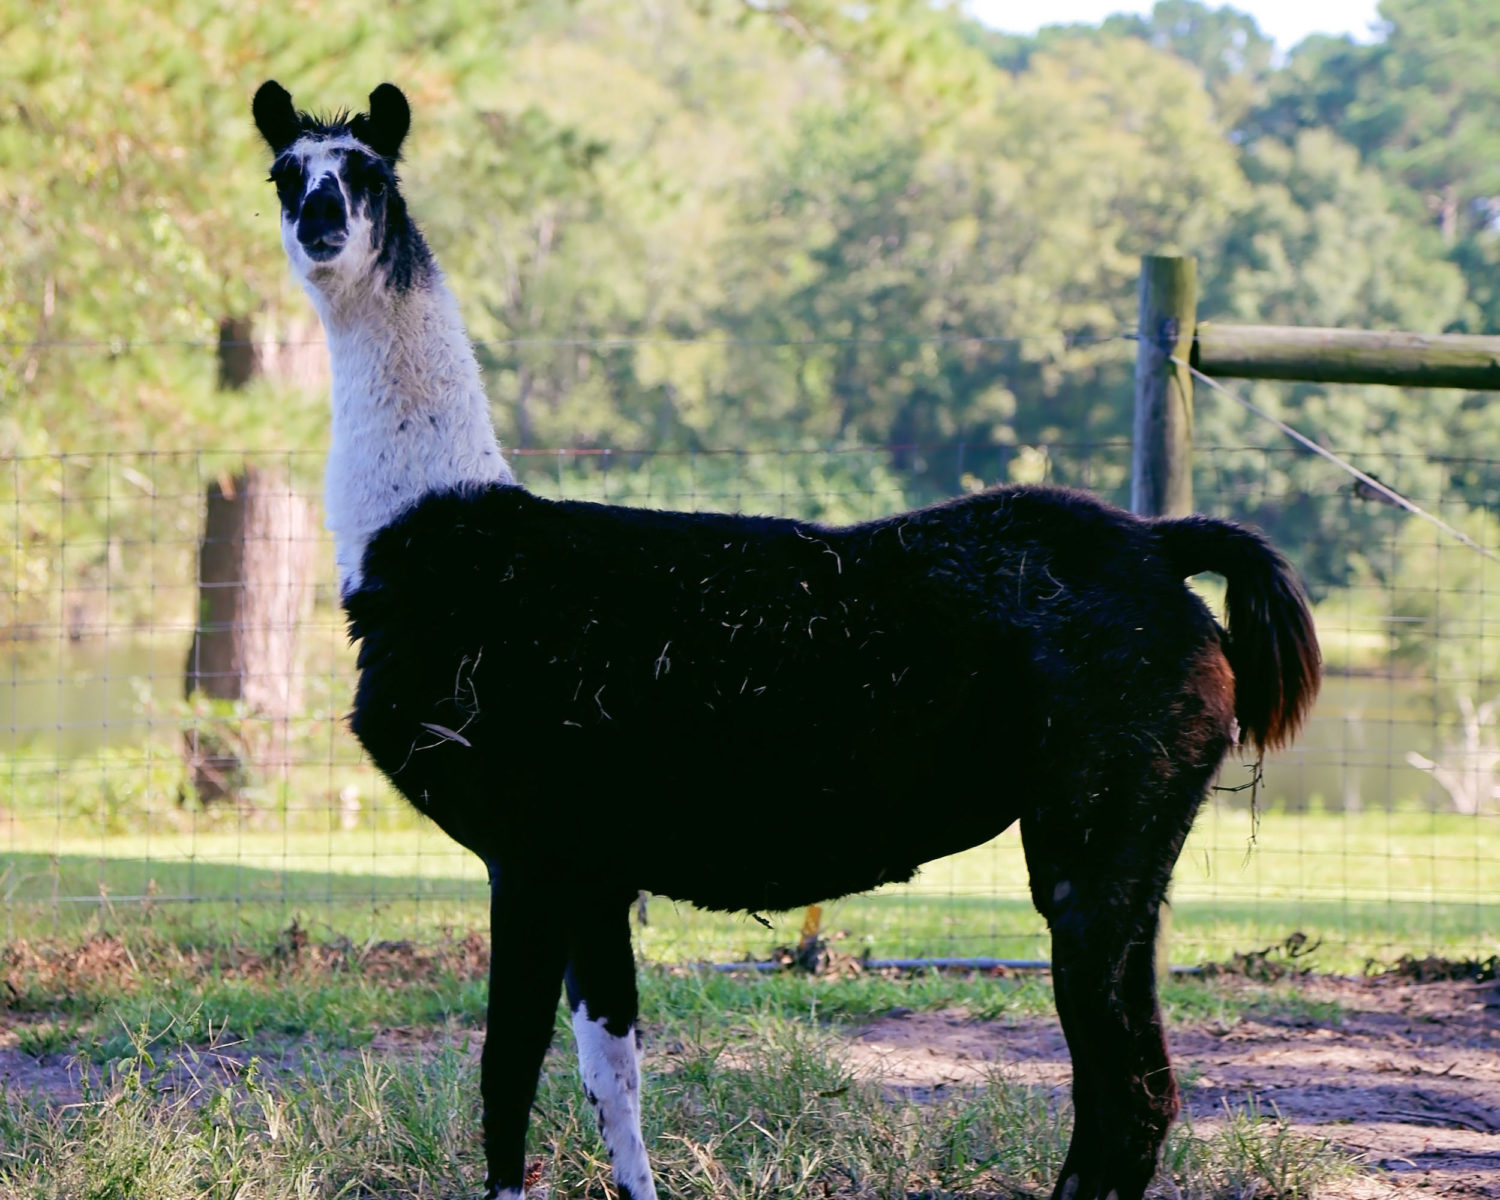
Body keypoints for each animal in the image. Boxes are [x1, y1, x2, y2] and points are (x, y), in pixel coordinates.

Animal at [253, 80, 1321, 1200]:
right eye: (286, 173)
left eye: (368, 176)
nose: (321, 225)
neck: (437, 534)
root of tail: (1159, 545)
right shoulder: (592, 863)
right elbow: (612, 1073)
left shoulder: (530, 847)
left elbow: (506, 1071)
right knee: (1122, 1092)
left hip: (1100, 826)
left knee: (1130, 1094)